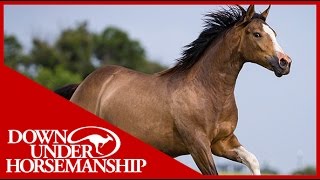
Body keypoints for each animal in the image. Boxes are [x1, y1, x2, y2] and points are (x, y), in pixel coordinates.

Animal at [55, 4, 292, 175]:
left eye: (274, 33)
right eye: (256, 34)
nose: (285, 62)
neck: (207, 92)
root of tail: (82, 85)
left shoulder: (223, 142)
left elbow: (252, 161)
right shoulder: (198, 145)